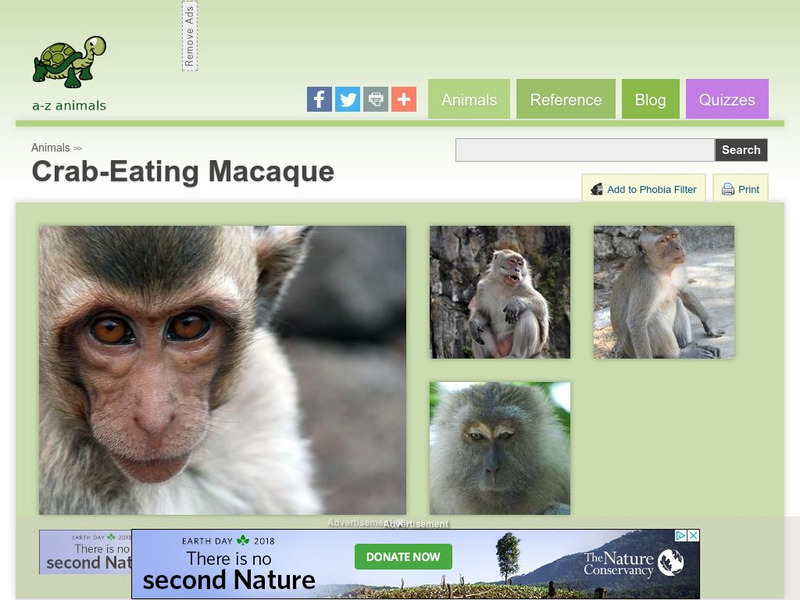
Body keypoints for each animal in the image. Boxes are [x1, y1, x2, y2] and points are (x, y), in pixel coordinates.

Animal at [610, 226, 725, 359]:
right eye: (664, 240)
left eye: (674, 236)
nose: (679, 247)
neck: (662, 270)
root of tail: (625, 351)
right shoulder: (646, 282)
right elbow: (636, 322)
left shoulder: (678, 267)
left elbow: (683, 292)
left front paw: (710, 325)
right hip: (636, 350)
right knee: (651, 320)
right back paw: (681, 354)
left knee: (677, 301)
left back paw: (687, 345)